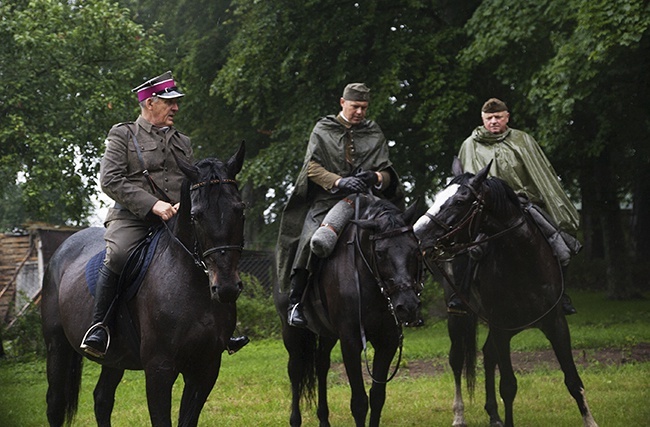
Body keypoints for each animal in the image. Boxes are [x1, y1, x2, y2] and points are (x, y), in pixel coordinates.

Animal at [39, 143, 246, 427]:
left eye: (240, 209)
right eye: (196, 215)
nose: (226, 288)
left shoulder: (205, 368)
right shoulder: (159, 370)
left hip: (115, 357)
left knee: (102, 399)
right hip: (57, 346)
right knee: (55, 404)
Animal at [274, 197, 420, 427]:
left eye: (414, 248)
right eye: (380, 253)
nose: (408, 306)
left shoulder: (387, 341)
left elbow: (377, 397)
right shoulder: (350, 340)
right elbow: (359, 402)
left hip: (327, 333)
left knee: (321, 366)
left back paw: (324, 420)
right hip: (291, 331)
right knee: (295, 370)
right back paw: (295, 420)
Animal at [412, 161, 596, 427]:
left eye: (460, 201)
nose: (416, 235)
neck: (524, 262)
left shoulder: (556, 324)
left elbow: (573, 379)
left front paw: (590, 420)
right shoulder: (501, 329)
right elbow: (508, 385)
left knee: (488, 355)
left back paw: (493, 414)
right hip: (458, 317)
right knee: (457, 360)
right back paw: (459, 415)